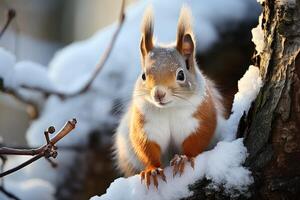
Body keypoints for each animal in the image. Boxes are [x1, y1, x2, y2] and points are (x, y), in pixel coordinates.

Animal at [113, 5, 226, 188]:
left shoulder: (200, 119)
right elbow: (146, 148)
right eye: (143, 75)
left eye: (181, 75)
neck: (169, 109)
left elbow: (196, 141)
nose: (159, 93)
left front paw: (183, 159)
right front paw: (152, 170)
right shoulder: (145, 126)